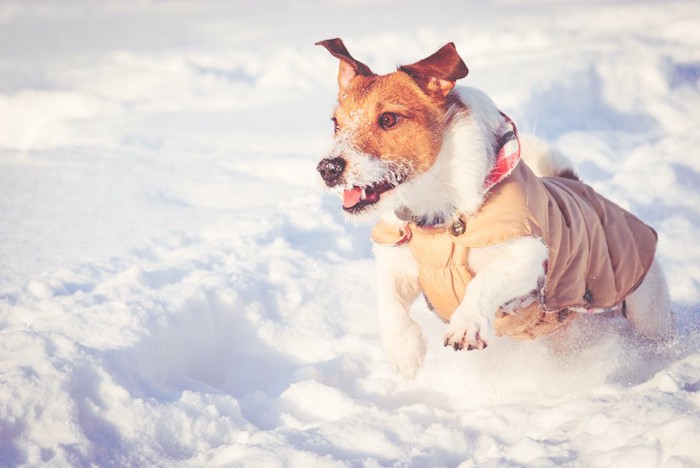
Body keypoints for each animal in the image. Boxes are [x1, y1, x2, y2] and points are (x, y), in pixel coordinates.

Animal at [316, 38, 672, 378]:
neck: (436, 214)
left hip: (646, 305)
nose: (327, 168)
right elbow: (387, 301)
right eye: (335, 123)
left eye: (388, 119)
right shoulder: (398, 263)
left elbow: (482, 282)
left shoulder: (526, 257)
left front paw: (467, 324)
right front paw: (405, 351)